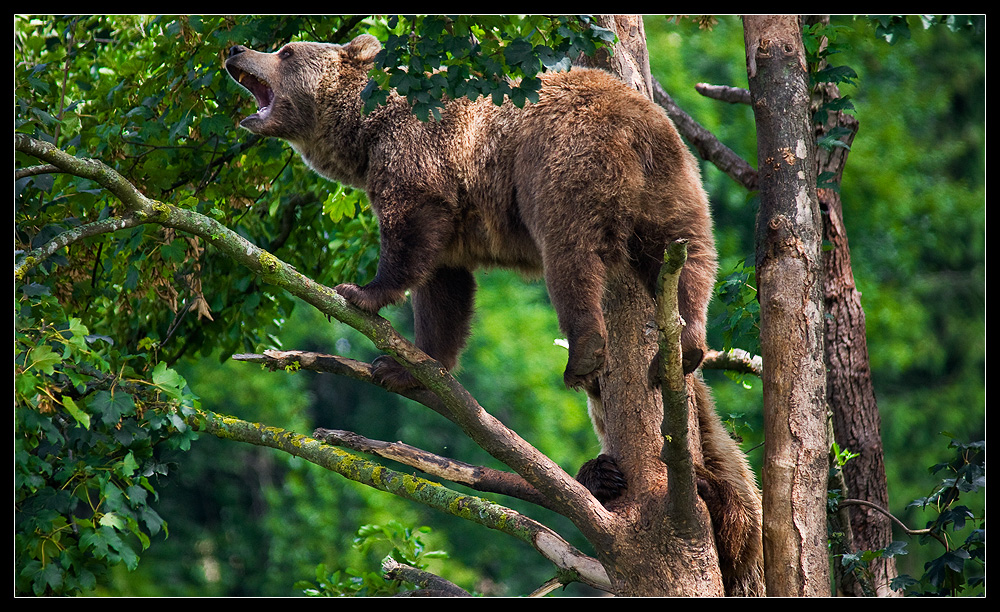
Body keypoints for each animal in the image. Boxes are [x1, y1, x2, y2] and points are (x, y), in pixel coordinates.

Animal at [225, 34, 756, 596]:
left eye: (285, 50)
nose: (235, 49)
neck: (364, 135)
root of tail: (637, 125)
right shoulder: (453, 224)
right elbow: (445, 290)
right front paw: (403, 368)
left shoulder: (419, 152)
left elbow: (411, 226)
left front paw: (363, 292)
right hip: (675, 183)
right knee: (691, 257)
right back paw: (687, 346)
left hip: (562, 161)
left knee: (571, 255)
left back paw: (585, 356)